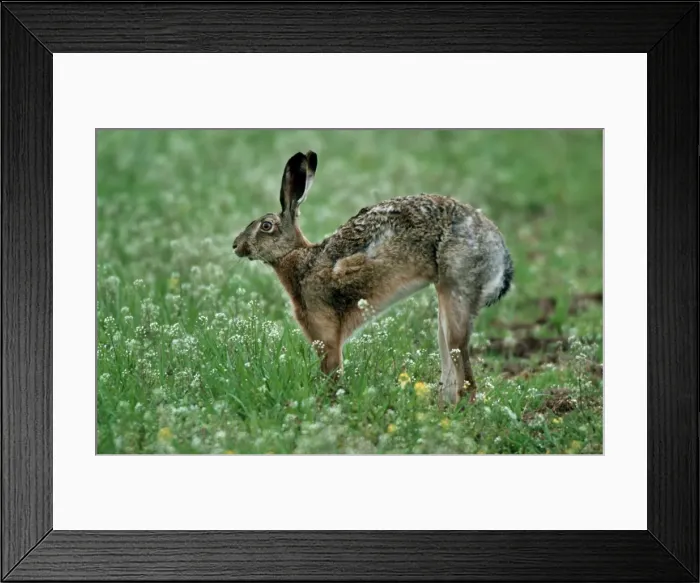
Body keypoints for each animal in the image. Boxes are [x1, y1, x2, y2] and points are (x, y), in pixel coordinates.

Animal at [233, 150, 513, 407]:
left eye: (266, 226)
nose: (236, 245)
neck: (299, 257)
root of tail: (499, 249)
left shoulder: (325, 332)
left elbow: (331, 370)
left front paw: (328, 401)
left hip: (458, 287)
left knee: (462, 360)